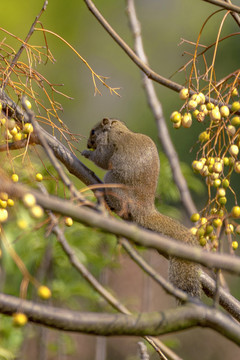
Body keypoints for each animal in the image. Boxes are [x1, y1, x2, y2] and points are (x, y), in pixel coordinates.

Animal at [81, 117, 202, 298]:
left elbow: (101, 159)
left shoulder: (108, 146)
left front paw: (86, 154)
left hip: (113, 182)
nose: (88, 144)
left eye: (93, 132)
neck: (116, 130)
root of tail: (145, 209)